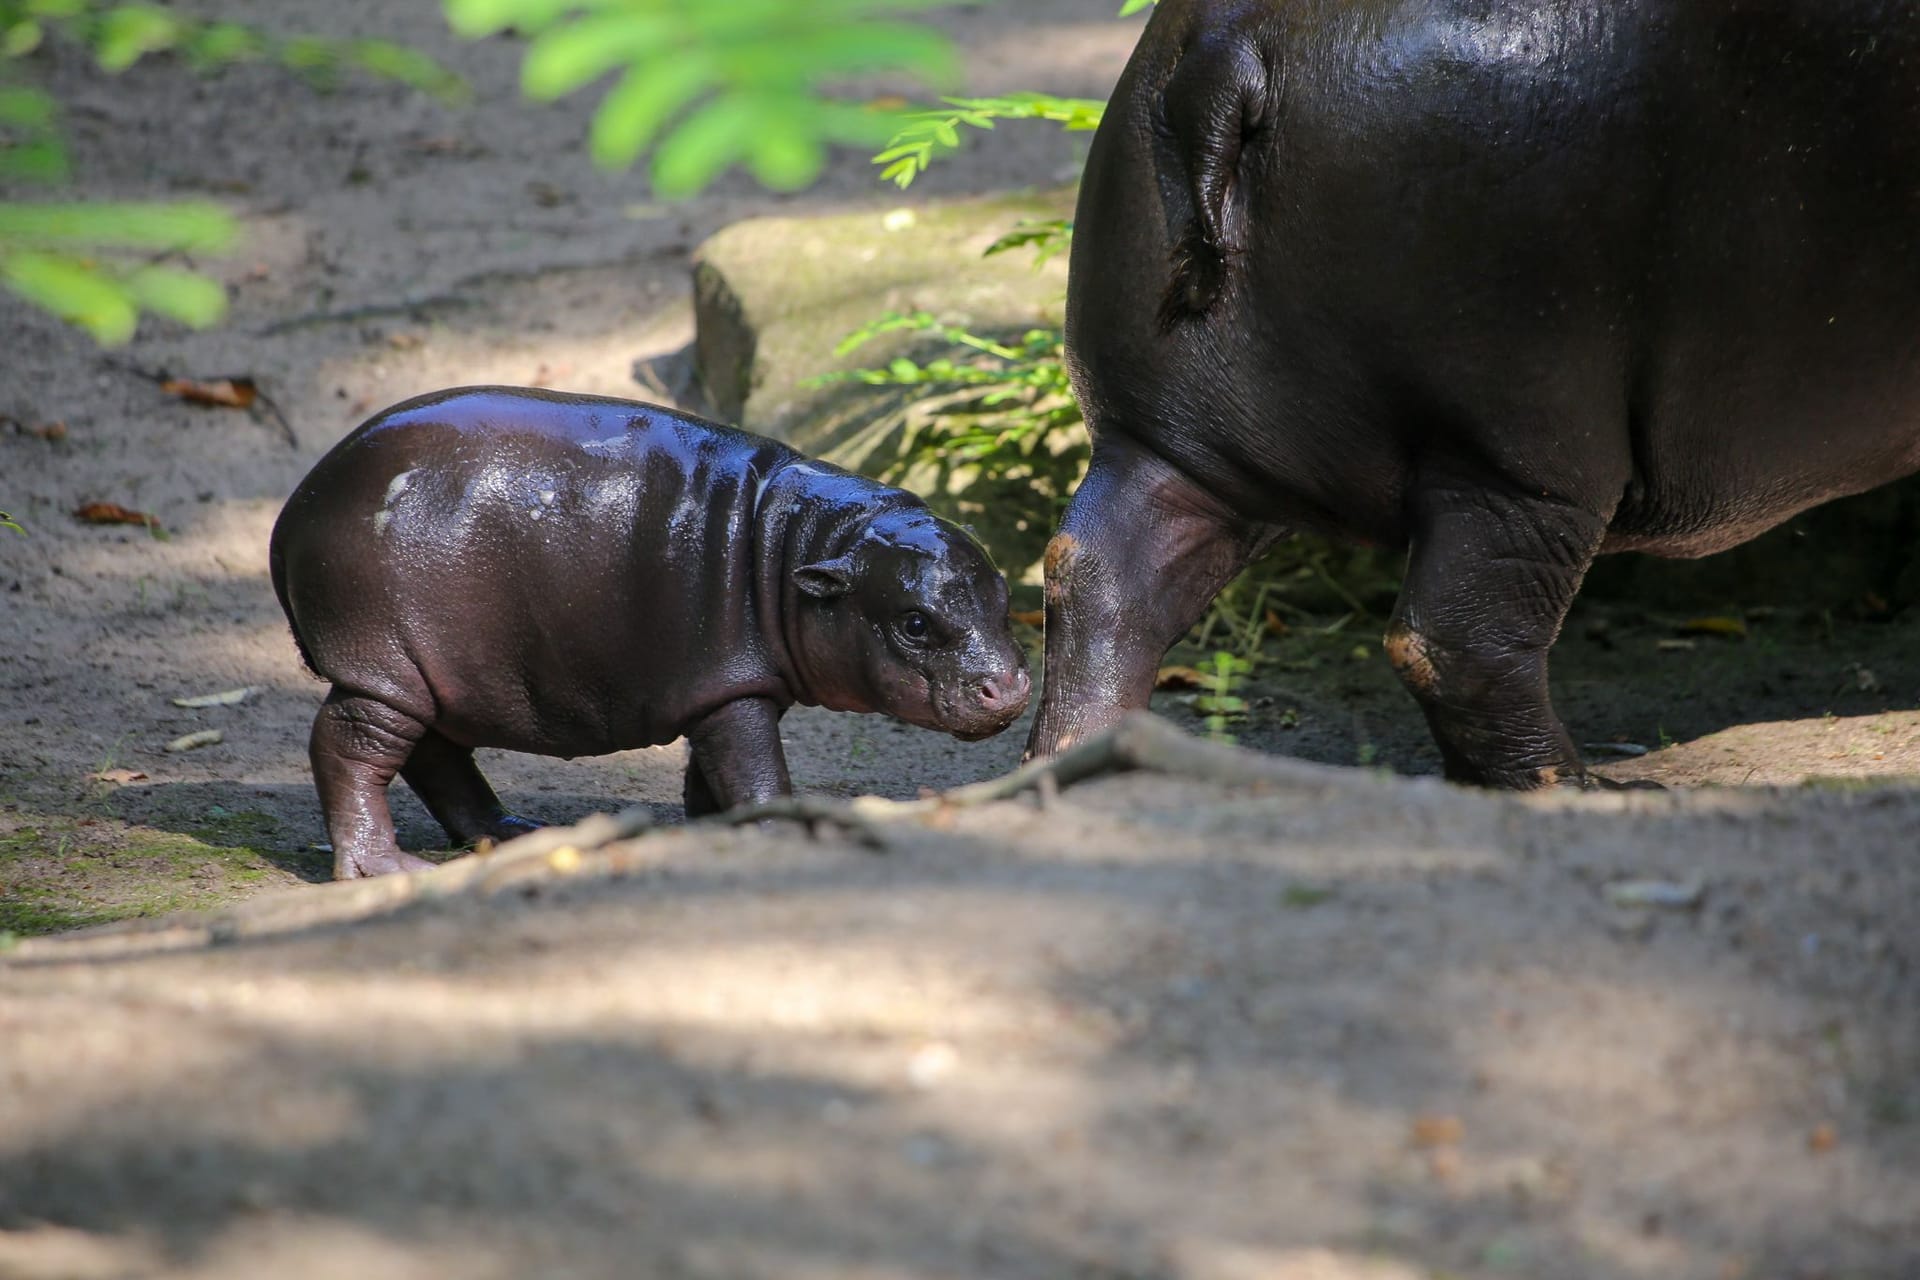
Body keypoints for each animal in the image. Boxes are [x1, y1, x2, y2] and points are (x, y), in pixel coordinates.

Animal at [270, 385, 1036, 875]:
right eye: (914, 622)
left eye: (1005, 597)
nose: (1010, 687)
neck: (807, 542)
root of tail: (294, 509)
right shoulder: (733, 690)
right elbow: (756, 770)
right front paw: (776, 829)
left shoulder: (721, 688)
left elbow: (713, 771)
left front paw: (709, 832)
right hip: (383, 665)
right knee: (348, 748)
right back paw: (386, 868)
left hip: (433, 674)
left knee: (436, 754)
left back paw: (514, 833)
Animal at [1036, 0, 1920, 786]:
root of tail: (1228, 47)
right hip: (1521, 456)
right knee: (1454, 640)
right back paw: (1582, 787)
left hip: (1170, 438)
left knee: (1102, 574)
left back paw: (1092, 758)